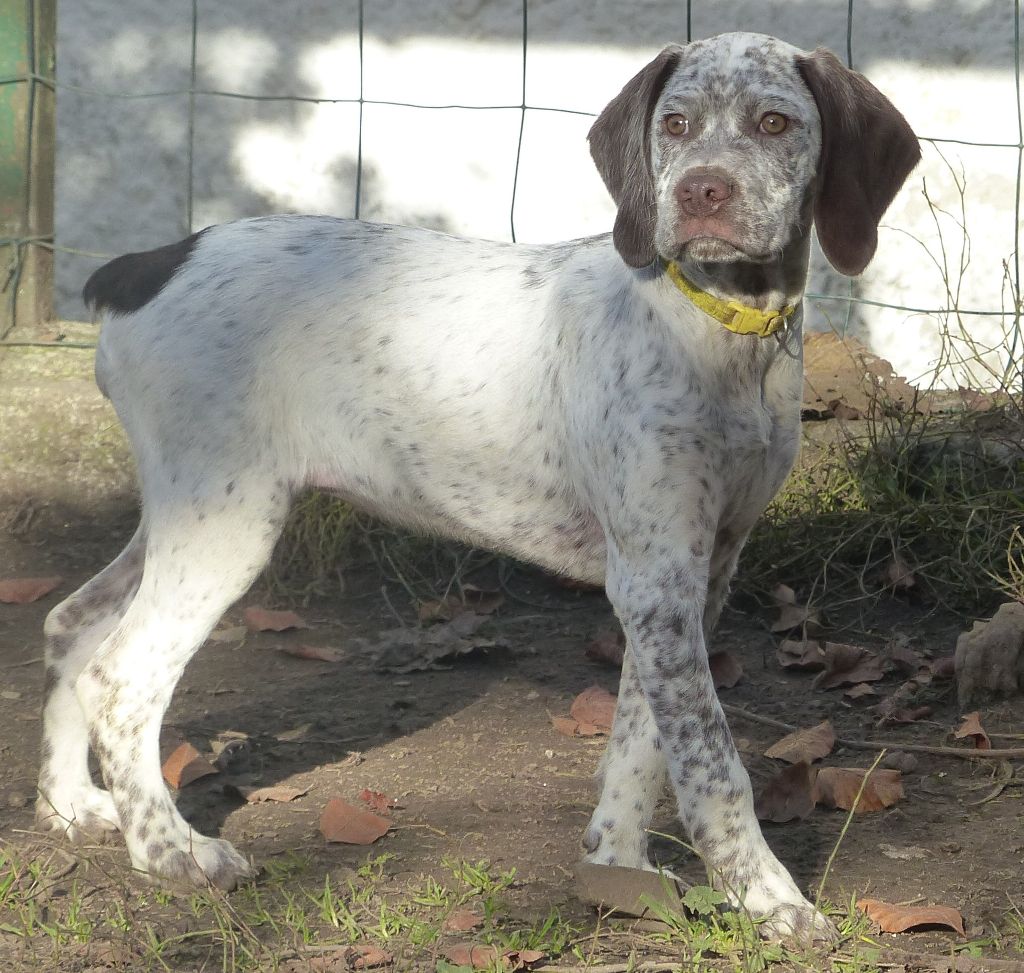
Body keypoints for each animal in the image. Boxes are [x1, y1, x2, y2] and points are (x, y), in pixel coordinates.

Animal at [37, 32, 921, 946]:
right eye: (674, 125)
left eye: (774, 122)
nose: (698, 192)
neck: (723, 329)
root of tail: (146, 263)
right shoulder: (656, 577)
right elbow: (712, 760)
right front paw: (771, 898)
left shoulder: (696, 571)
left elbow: (643, 740)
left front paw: (617, 865)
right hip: (228, 518)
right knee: (121, 675)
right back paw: (168, 849)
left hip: (189, 508)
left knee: (69, 620)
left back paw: (71, 804)